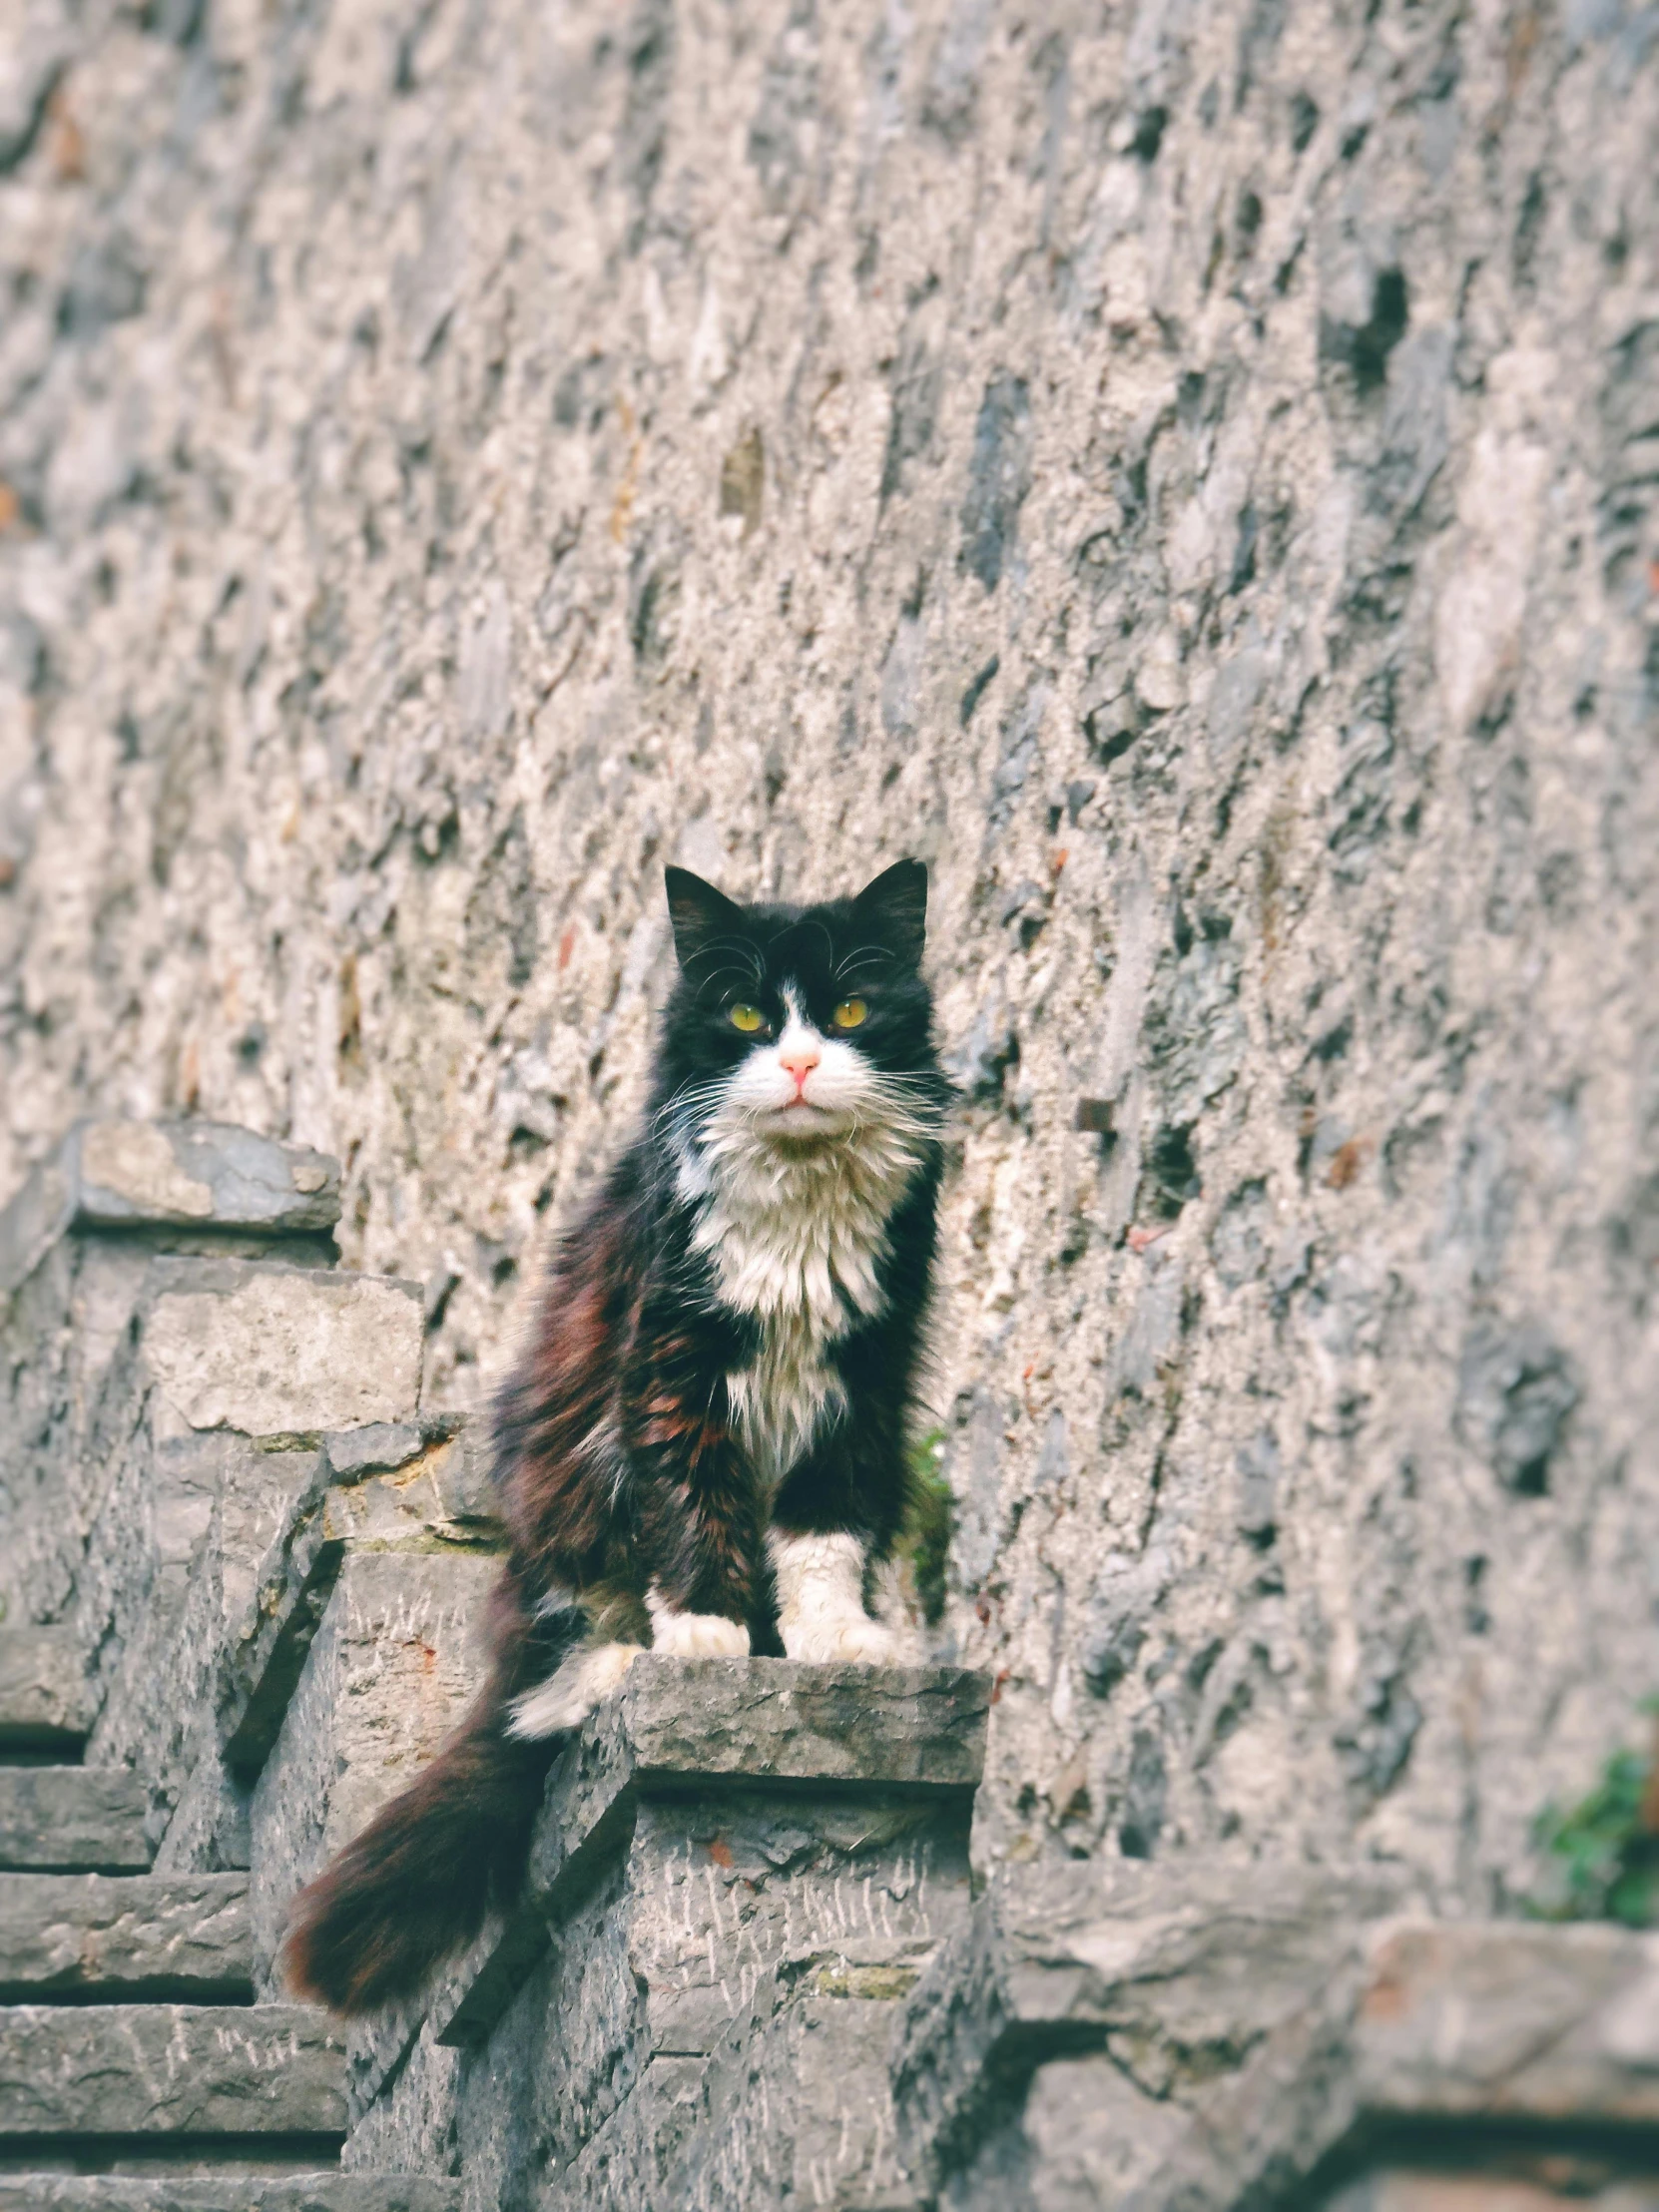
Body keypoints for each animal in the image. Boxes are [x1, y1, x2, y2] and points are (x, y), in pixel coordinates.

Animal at [284, 862, 946, 2025]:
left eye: (852, 1011)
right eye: (747, 1018)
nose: (801, 1062)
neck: (799, 1213)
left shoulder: (862, 1385)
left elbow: (823, 1537)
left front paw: (836, 1640)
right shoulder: (672, 1368)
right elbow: (696, 1510)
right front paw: (707, 1640)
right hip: (566, 1486)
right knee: (554, 1668)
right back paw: (619, 1662)